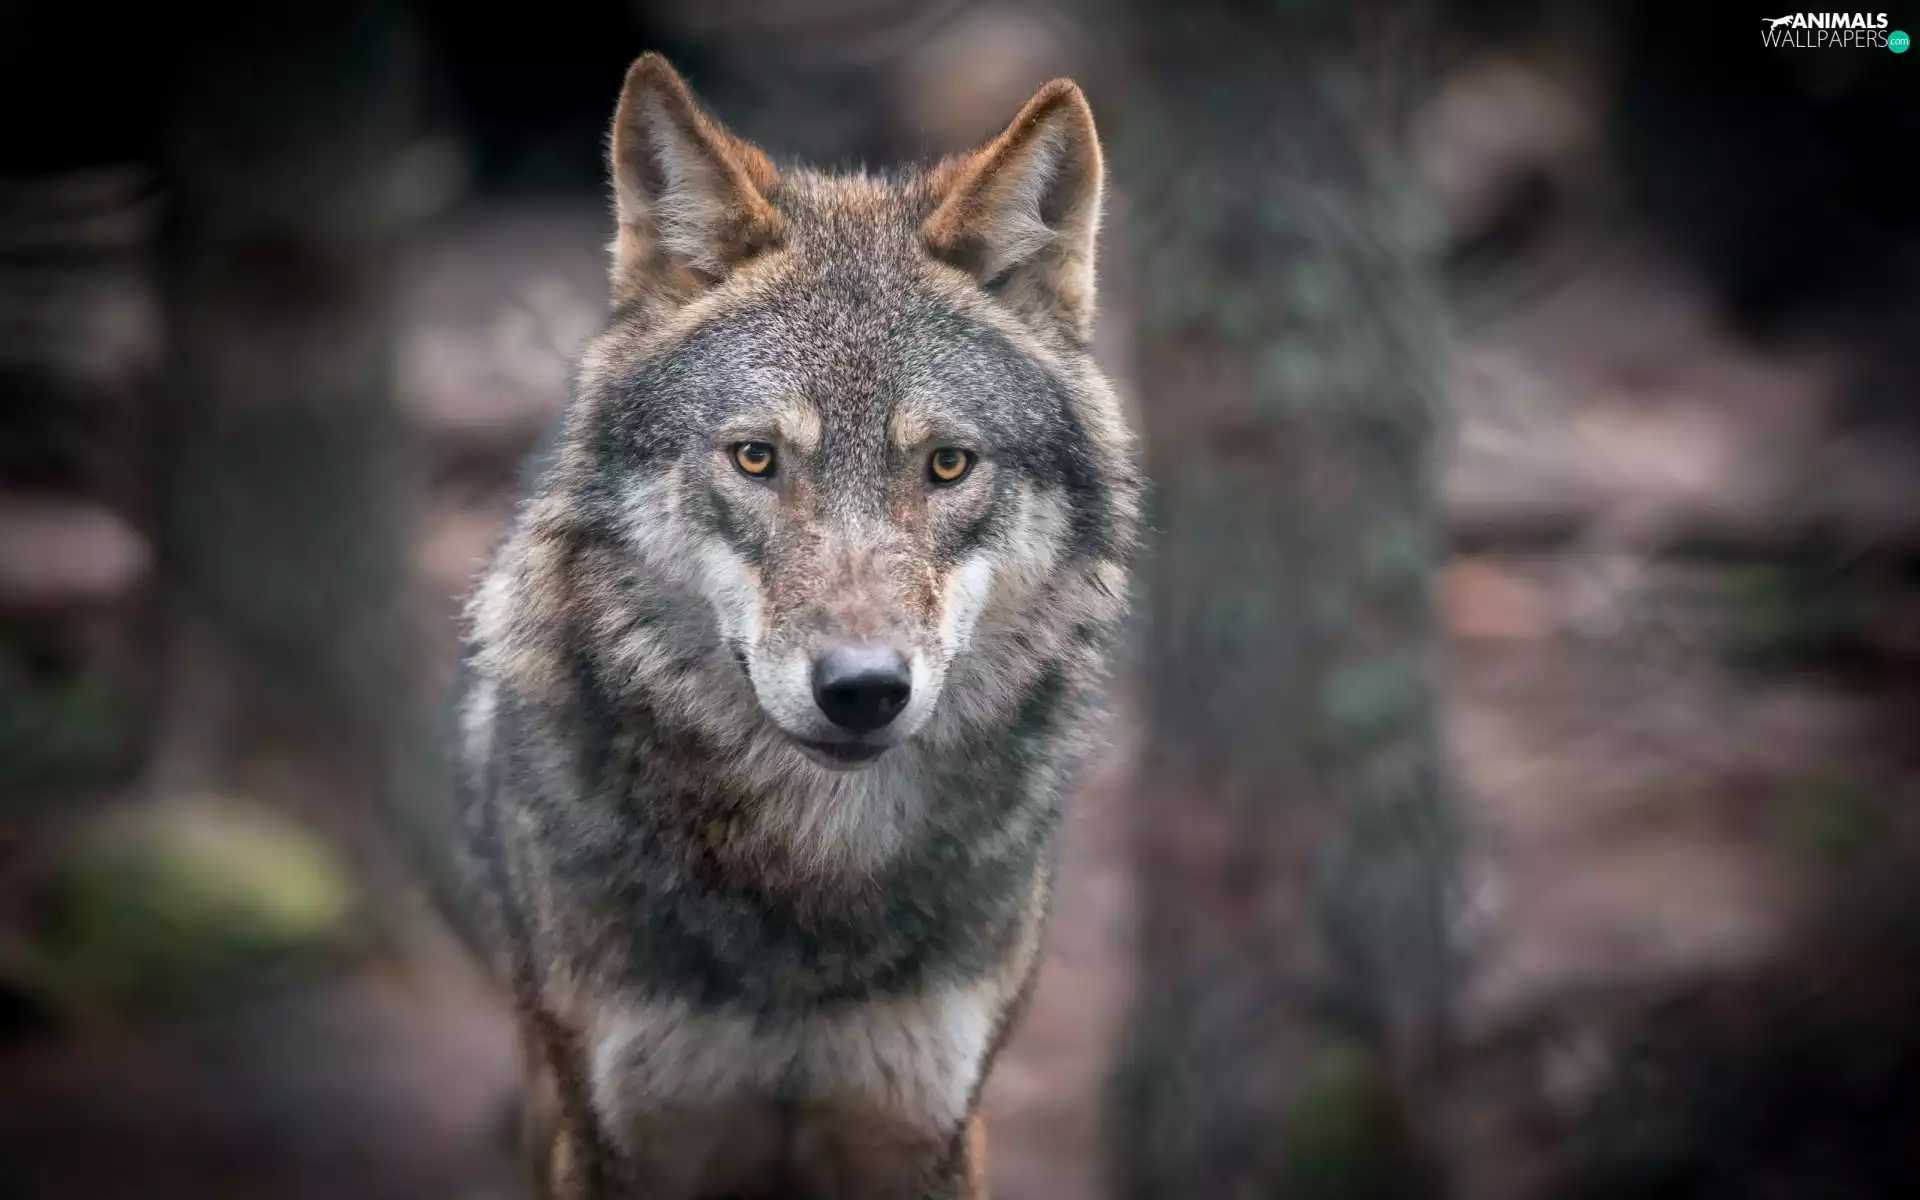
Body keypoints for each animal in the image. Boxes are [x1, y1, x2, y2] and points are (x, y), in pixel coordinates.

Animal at [430, 53, 1140, 1199]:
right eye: (756, 457)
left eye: (948, 464)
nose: (861, 690)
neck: (810, 886)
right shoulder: (618, 1136)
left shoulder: (925, 1130)